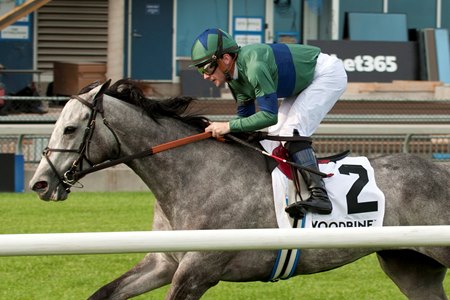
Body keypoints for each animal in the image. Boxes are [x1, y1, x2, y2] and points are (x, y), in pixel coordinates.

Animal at [30, 80, 450, 300]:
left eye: (70, 128)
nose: (40, 183)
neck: (194, 174)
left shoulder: (196, 271)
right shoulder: (164, 263)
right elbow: (103, 293)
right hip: (411, 266)